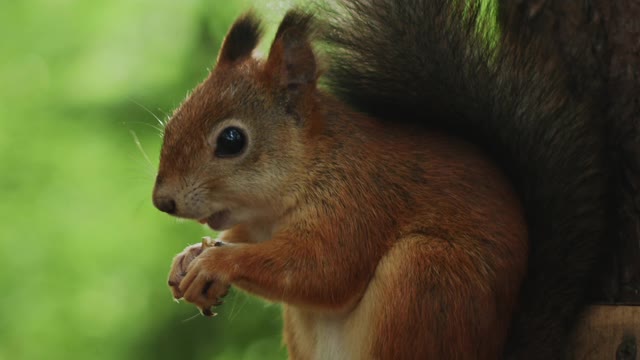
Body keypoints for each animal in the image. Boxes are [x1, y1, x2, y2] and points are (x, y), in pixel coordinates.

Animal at [152, 1, 608, 358]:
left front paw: (217, 262)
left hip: (425, 275)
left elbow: (323, 269)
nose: (162, 202)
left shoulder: (358, 203)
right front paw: (188, 258)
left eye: (232, 140)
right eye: (171, 124)